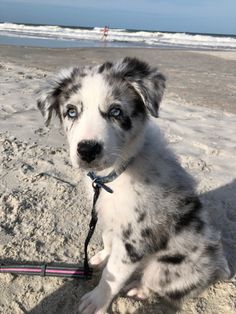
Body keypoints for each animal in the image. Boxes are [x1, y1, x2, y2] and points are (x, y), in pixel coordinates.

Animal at [37, 57, 230, 312]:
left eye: (116, 111)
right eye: (71, 112)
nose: (87, 150)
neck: (117, 172)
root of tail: (216, 267)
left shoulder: (135, 237)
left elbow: (113, 274)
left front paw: (96, 301)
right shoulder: (109, 216)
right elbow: (108, 239)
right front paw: (101, 257)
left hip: (165, 268)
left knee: (157, 284)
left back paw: (139, 289)